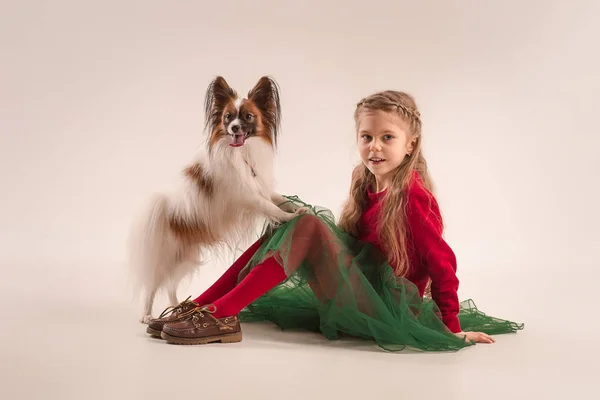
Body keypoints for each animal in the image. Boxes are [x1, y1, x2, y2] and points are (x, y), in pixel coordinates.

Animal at [126, 76, 304, 324]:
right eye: (227, 117)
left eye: (248, 117)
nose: (234, 127)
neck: (242, 153)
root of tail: (165, 208)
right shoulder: (245, 194)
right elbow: (269, 206)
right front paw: (287, 217)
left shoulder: (258, 185)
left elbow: (278, 199)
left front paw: (299, 208)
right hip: (167, 257)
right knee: (153, 285)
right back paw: (147, 315)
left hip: (185, 258)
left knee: (171, 285)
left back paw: (176, 308)